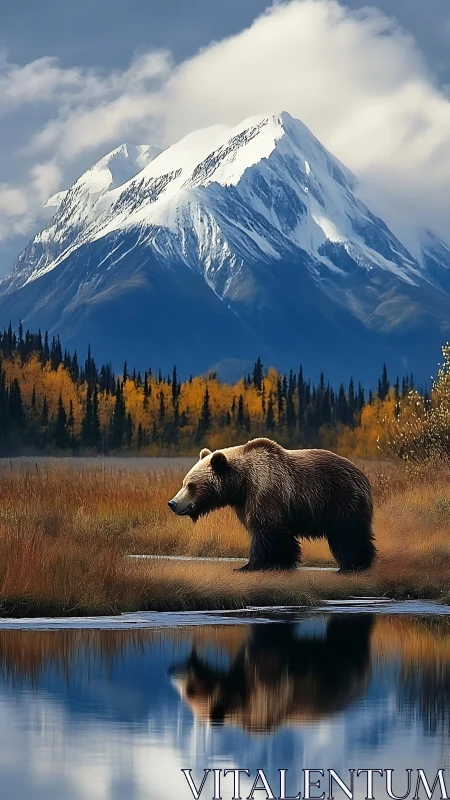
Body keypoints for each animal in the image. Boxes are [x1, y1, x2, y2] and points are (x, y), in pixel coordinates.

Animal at [168, 437, 376, 572]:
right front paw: (282, 562)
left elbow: (265, 528)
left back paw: (353, 565)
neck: (242, 482)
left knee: (348, 533)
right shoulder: (244, 501)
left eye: (191, 485)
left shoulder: (267, 488)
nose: (173, 503)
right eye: (184, 483)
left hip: (340, 498)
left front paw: (250, 565)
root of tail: (362, 476)